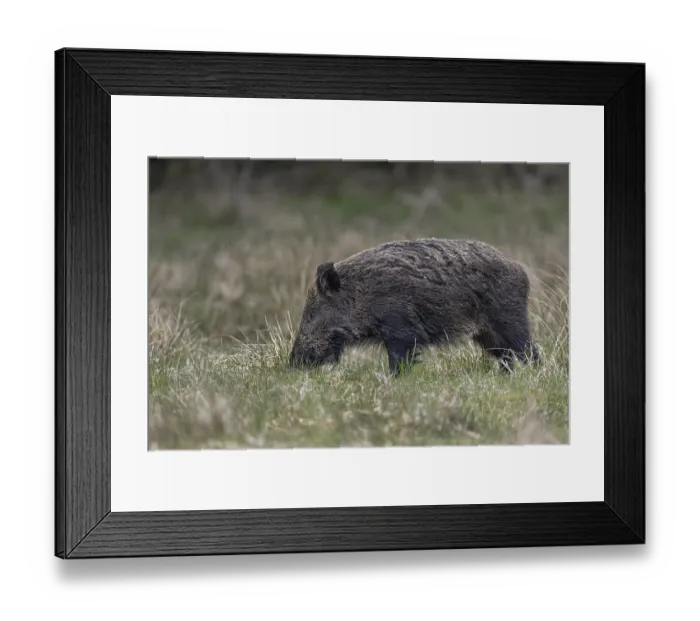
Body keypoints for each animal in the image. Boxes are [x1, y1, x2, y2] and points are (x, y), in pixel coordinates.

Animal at [289, 238, 540, 375]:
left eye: (312, 314)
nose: (291, 364)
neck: (362, 294)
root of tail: (521, 271)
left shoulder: (401, 330)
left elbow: (398, 360)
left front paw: (392, 381)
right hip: (486, 335)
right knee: (507, 356)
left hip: (510, 321)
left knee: (530, 351)